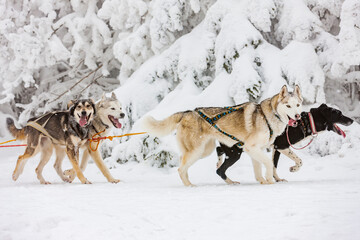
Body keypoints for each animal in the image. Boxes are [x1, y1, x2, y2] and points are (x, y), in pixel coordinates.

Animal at [142, 85, 302, 187]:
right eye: (288, 106)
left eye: (298, 105)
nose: (297, 116)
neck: (268, 117)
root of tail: (187, 112)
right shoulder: (251, 148)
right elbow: (268, 163)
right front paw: (269, 180)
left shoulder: (255, 150)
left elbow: (258, 169)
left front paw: (263, 181)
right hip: (197, 151)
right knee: (181, 169)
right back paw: (189, 185)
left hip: (204, 151)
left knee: (186, 164)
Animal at [215, 103, 352, 184]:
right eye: (339, 113)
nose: (352, 120)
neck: (305, 122)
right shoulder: (282, 146)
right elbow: (299, 161)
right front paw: (294, 169)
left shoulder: (276, 149)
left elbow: (274, 166)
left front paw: (278, 179)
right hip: (235, 153)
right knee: (219, 171)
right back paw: (231, 182)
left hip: (234, 150)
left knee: (218, 150)